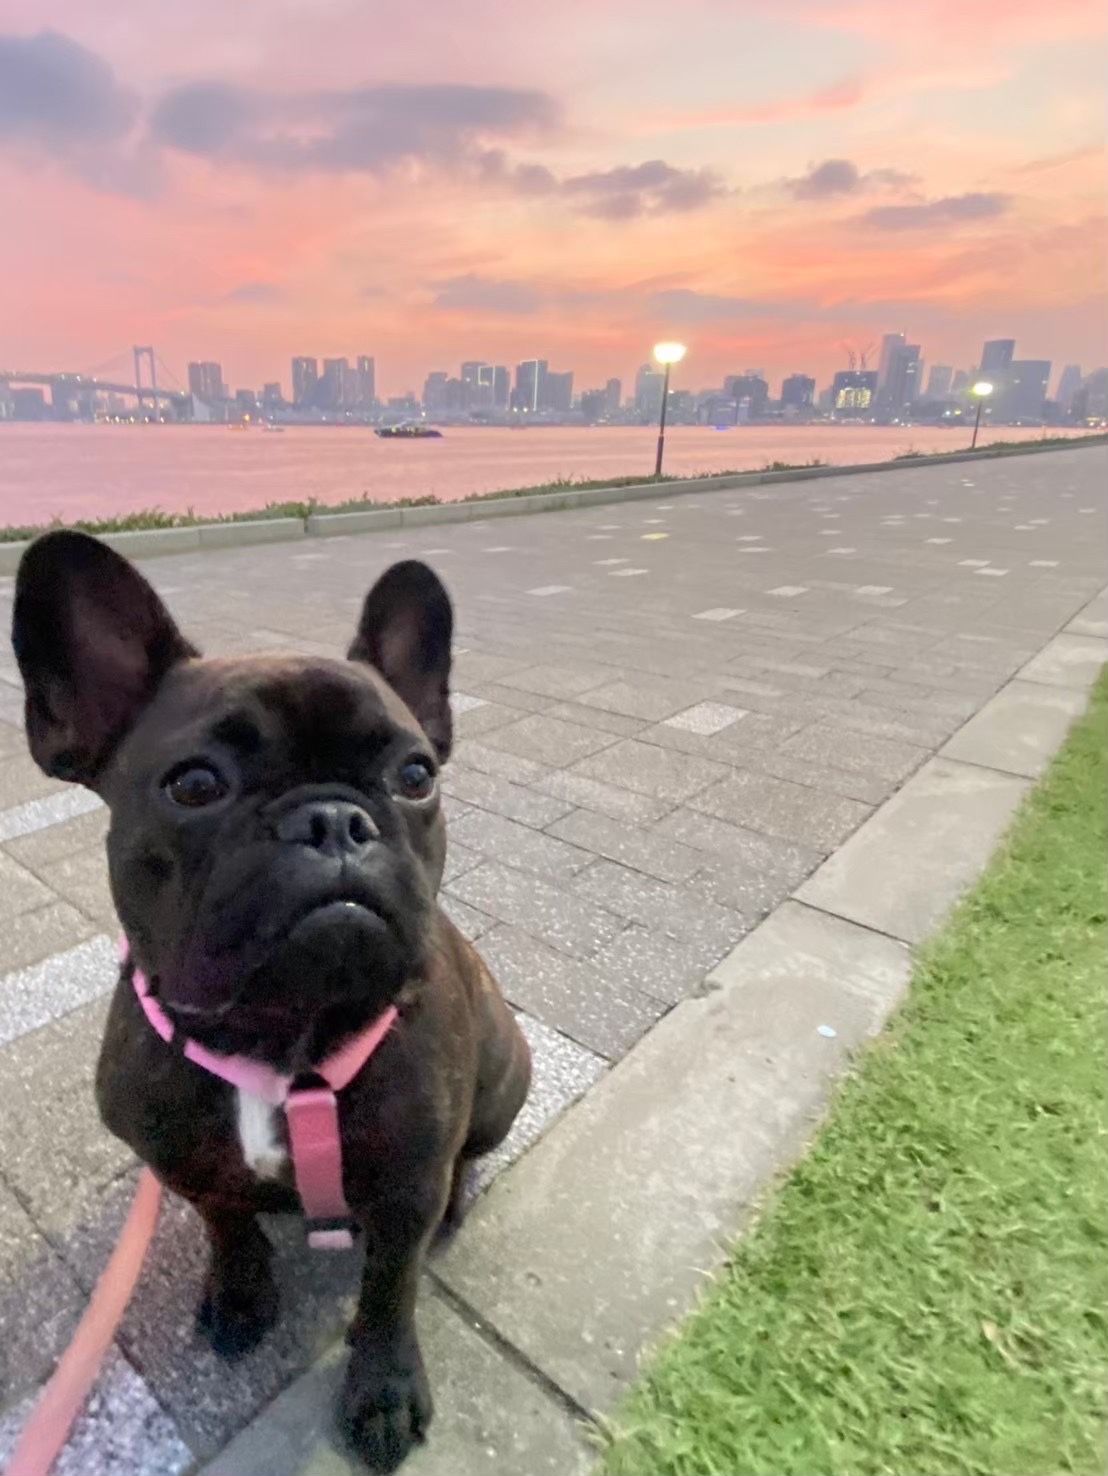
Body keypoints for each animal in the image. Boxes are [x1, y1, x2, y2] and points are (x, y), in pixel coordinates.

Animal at [11, 531, 531, 1472]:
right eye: (194, 785)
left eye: (415, 775)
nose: (334, 820)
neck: (280, 1037)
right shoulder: (183, 1158)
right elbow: (227, 1223)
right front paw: (239, 1295)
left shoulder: (405, 1187)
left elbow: (389, 1291)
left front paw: (383, 1392)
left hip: (504, 1078)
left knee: (466, 1160)